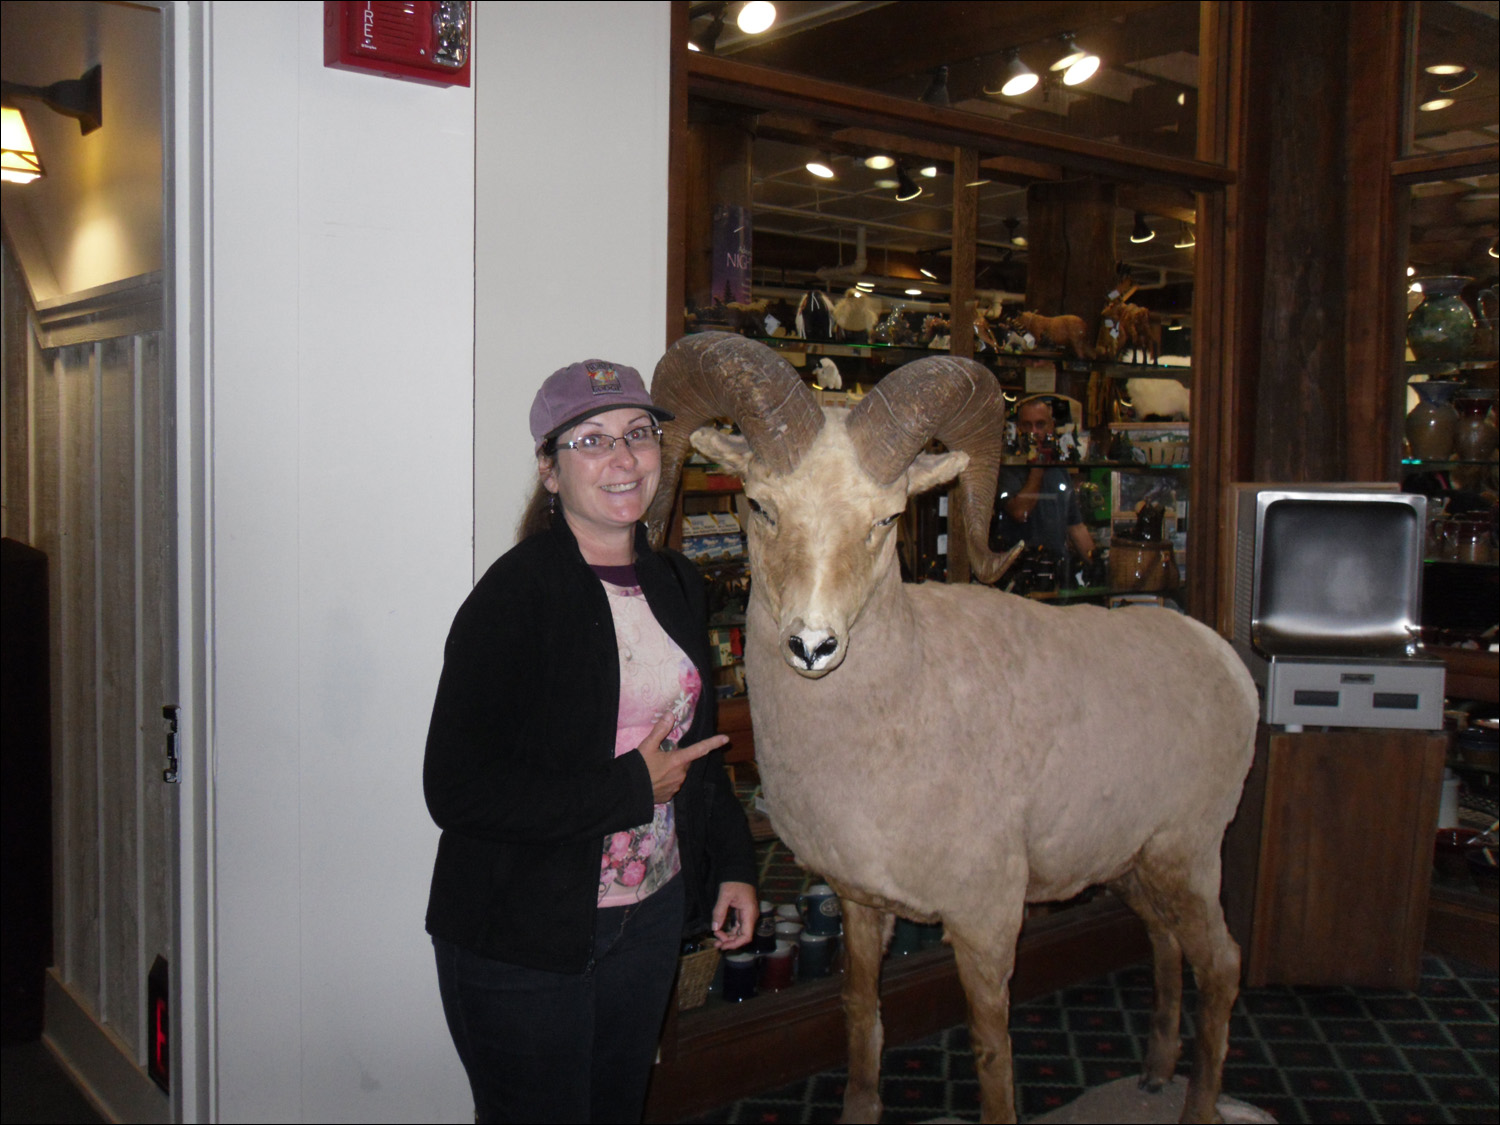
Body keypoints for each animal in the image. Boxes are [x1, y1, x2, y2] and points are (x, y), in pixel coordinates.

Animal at [645, 330, 1254, 1122]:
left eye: (885, 519)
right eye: (759, 506)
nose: (812, 646)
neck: (904, 710)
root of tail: (1226, 663)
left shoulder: (986, 923)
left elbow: (992, 1055)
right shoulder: (861, 906)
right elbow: (861, 1017)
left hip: (1191, 857)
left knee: (1222, 966)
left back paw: (1197, 1103)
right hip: (1135, 865)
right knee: (1167, 946)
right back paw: (1152, 1073)